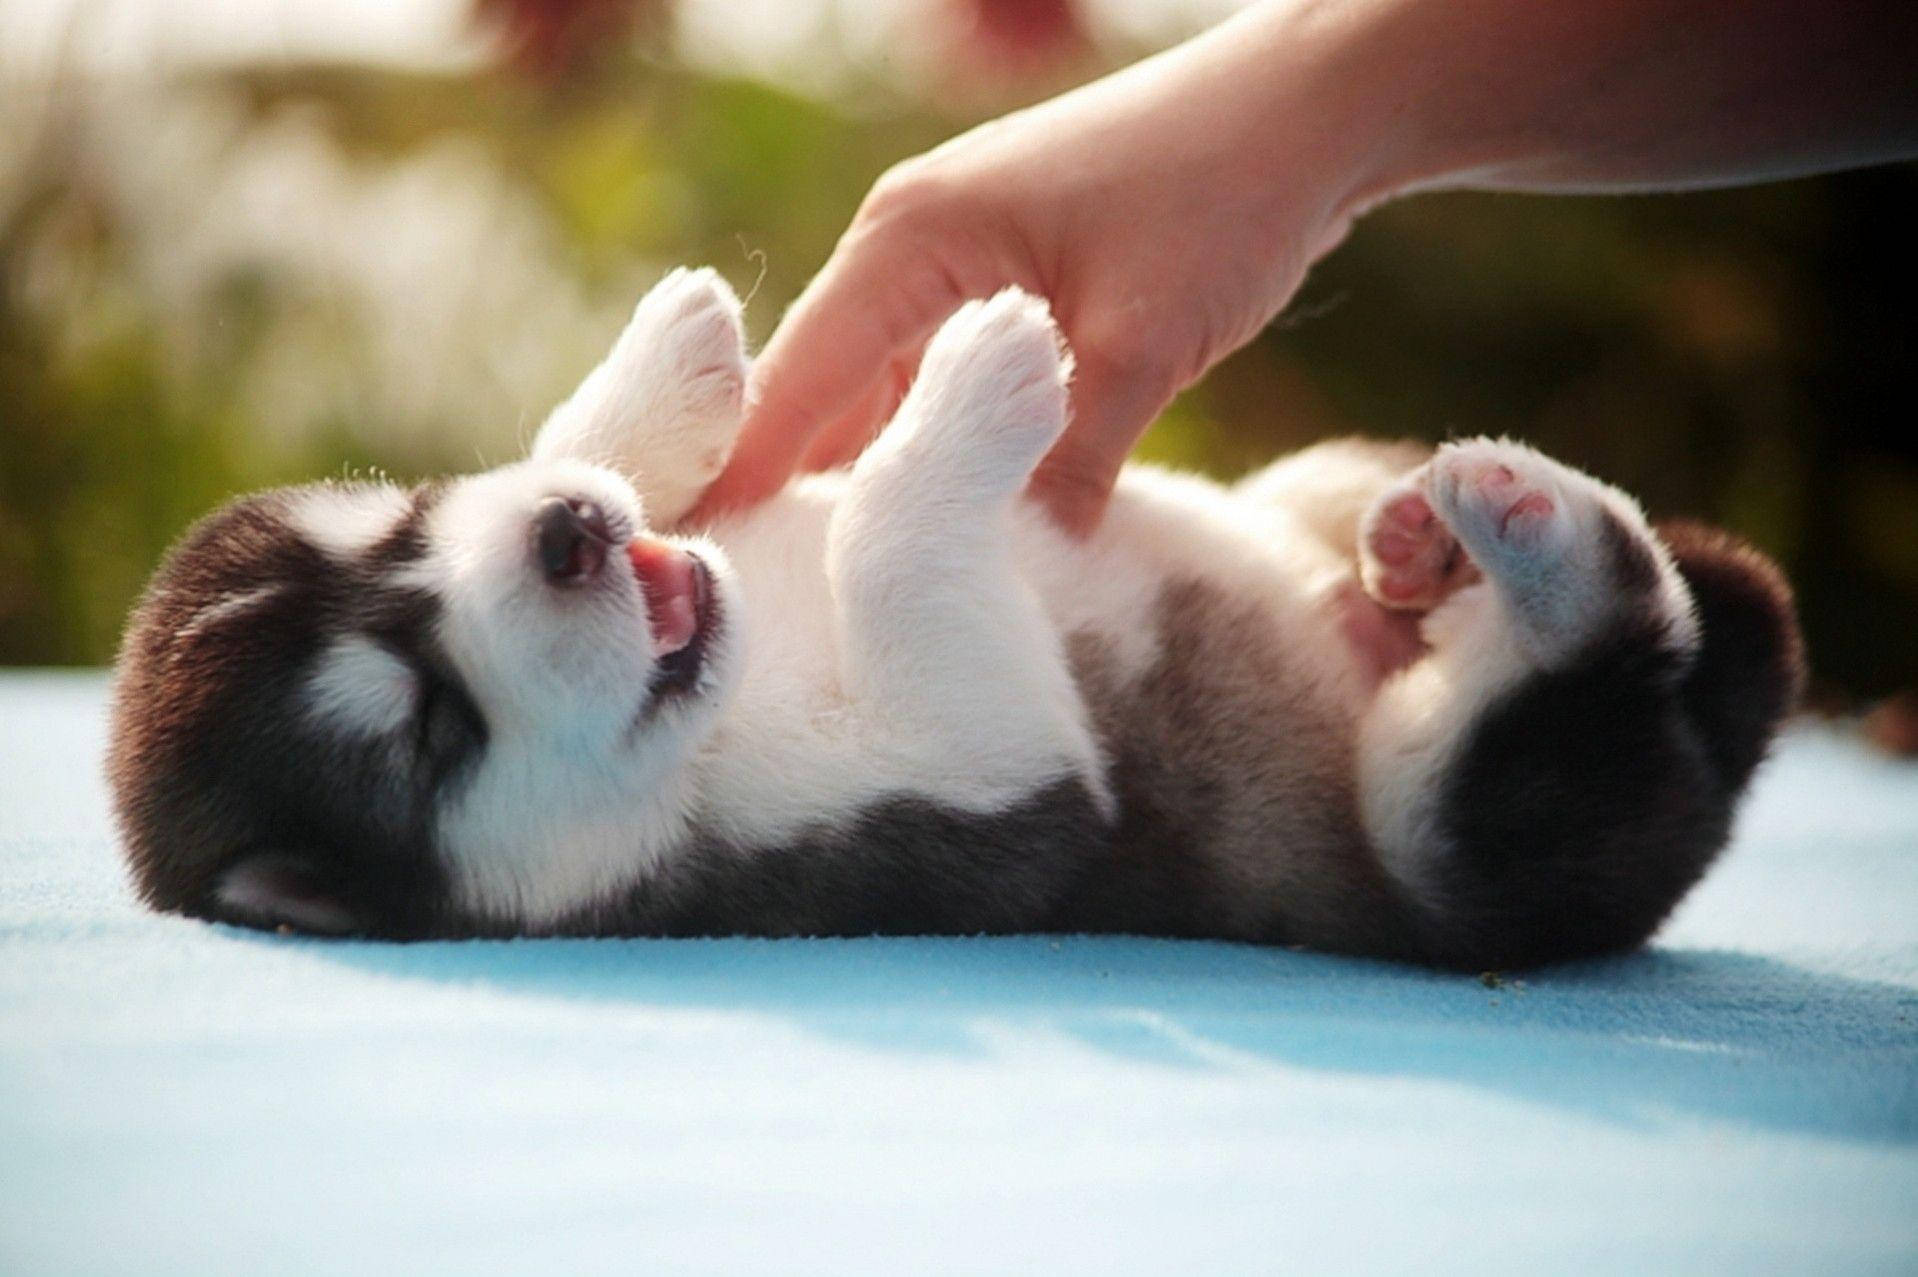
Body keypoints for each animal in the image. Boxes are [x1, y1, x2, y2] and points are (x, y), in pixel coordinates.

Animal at [112, 268, 1802, 966]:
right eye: (431, 731)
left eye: (403, 523)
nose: (571, 538)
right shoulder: (979, 791)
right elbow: (884, 544)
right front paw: (977, 382)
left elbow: (595, 429)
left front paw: (661, 372)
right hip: (1447, 837)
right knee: (1591, 690)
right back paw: (1543, 550)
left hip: (1321, 500)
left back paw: (1427, 529)